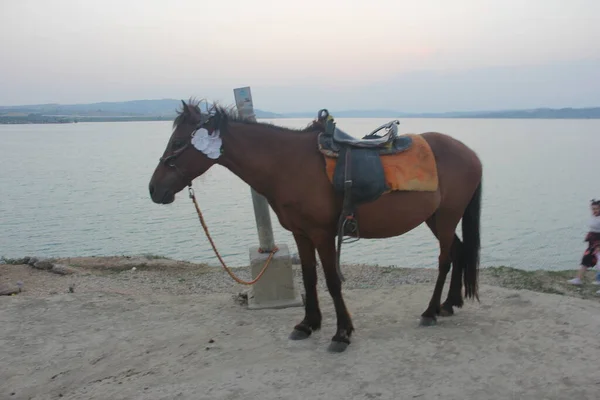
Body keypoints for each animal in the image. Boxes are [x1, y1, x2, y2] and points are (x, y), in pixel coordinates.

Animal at [150, 100, 482, 354]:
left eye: (178, 143)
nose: (154, 190)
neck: (288, 164)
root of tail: (471, 153)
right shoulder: (301, 233)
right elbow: (309, 278)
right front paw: (307, 324)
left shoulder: (322, 234)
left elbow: (332, 281)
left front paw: (342, 333)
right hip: (435, 218)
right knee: (459, 251)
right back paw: (448, 304)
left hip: (446, 216)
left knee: (445, 259)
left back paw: (430, 311)